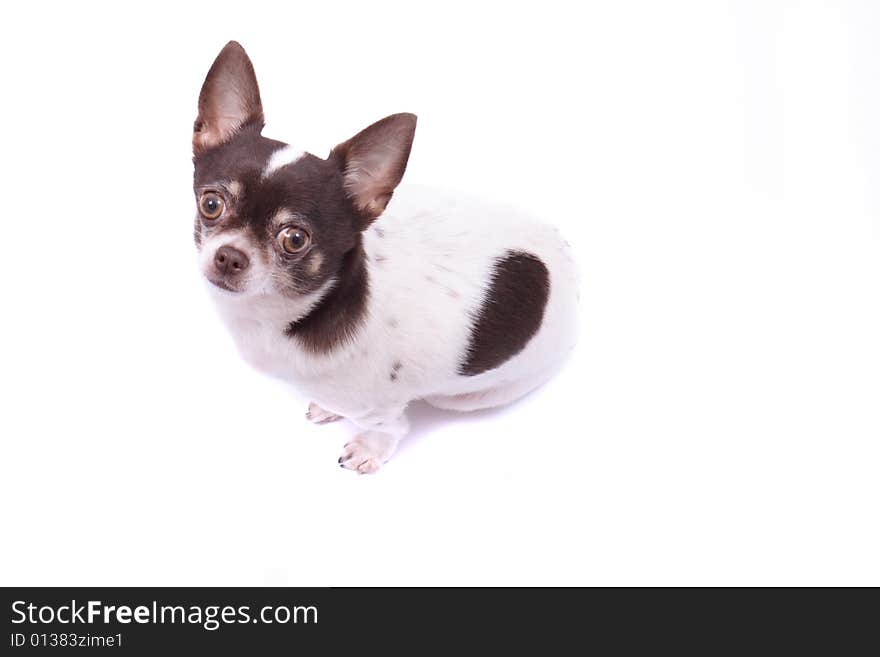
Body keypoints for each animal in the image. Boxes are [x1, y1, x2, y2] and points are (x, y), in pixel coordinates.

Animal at [192, 41, 576, 472]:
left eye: (295, 239)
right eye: (211, 204)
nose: (229, 256)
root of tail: (567, 258)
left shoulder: (382, 407)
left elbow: (390, 428)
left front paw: (368, 450)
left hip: (466, 395)